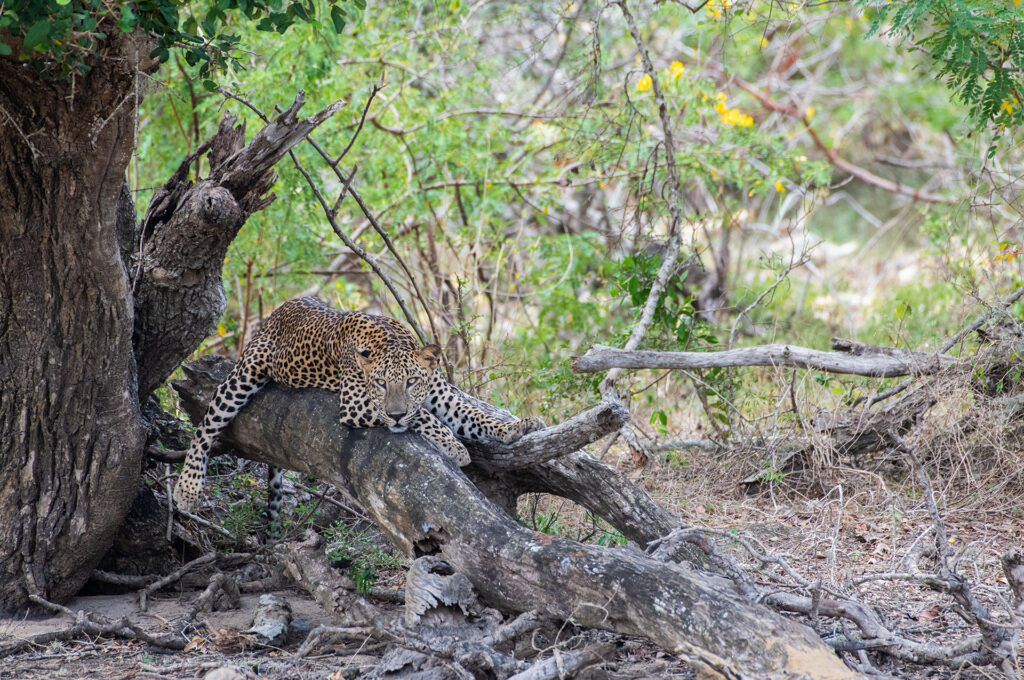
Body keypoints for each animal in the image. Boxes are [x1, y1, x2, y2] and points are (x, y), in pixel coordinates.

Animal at [174, 294, 544, 522]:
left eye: (412, 381)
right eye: (379, 383)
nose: (395, 415)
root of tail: (280, 309)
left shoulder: (440, 394)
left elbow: (472, 412)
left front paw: (517, 426)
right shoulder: (356, 403)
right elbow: (422, 415)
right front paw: (453, 446)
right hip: (244, 375)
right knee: (205, 426)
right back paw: (187, 490)